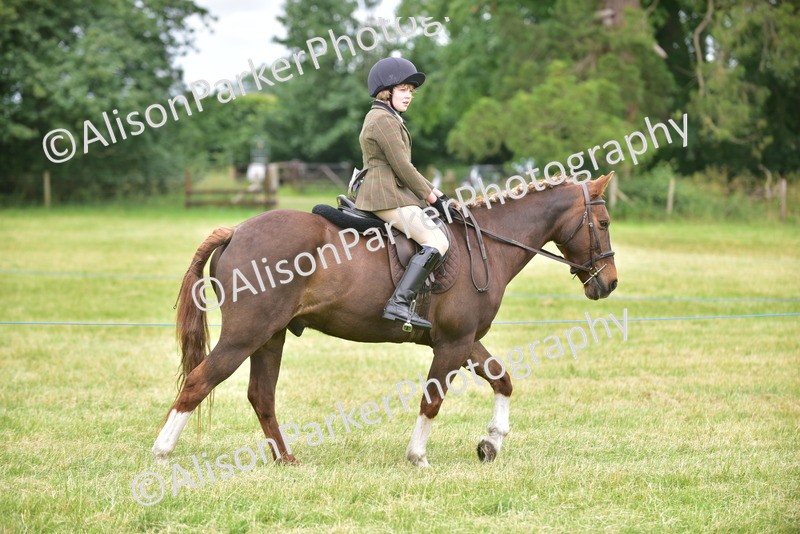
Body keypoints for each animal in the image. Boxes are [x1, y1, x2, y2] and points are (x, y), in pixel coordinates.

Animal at [152, 172, 618, 467]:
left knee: (261, 396)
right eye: (603, 222)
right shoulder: (453, 343)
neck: (487, 244)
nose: (609, 283)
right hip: (245, 335)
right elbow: (432, 400)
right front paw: (418, 457)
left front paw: (491, 443)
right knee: (198, 382)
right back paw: (161, 452)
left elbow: (502, 379)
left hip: (270, 336)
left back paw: (285, 459)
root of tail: (236, 231)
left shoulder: (465, 340)